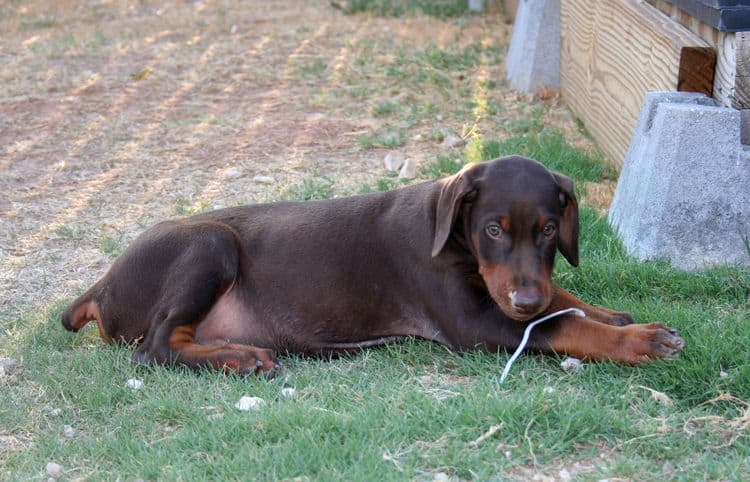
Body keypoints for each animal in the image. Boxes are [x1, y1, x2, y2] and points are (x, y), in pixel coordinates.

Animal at [63, 156, 688, 374]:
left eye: (551, 230)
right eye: (493, 229)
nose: (524, 300)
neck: (448, 232)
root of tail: (100, 285)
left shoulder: (508, 291)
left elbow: (564, 305)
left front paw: (612, 314)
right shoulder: (475, 323)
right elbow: (558, 324)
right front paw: (637, 340)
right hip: (209, 243)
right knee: (155, 347)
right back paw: (239, 358)